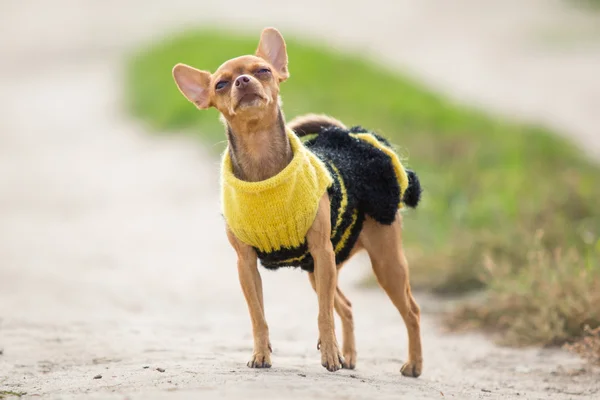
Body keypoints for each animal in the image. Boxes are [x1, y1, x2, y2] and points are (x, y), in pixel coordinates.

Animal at [169, 26, 422, 376]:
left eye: (263, 70)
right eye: (220, 84)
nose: (243, 81)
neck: (263, 165)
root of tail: (348, 136)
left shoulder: (321, 251)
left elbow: (323, 315)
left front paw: (329, 355)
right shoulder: (247, 265)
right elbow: (258, 316)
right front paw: (261, 354)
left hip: (382, 263)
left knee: (410, 310)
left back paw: (412, 364)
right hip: (322, 269)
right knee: (346, 305)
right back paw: (350, 356)